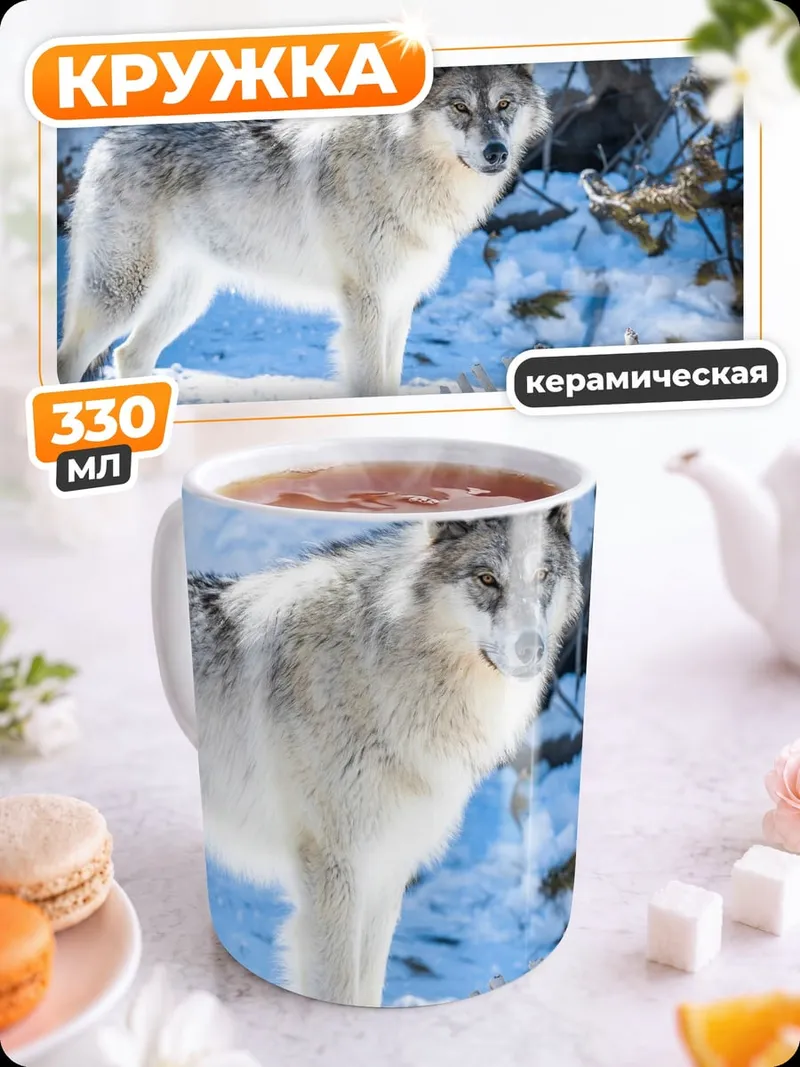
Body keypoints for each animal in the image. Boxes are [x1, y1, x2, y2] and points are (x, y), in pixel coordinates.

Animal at [57, 65, 551, 396]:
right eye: (460, 107)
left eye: (504, 104)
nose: (496, 152)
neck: (404, 171)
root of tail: (105, 141)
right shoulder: (366, 305)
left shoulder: (398, 304)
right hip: (123, 296)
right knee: (69, 361)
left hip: (185, 299)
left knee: (129, 356)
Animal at [187, 507, 583, 1006]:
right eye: (487, 579)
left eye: (543, 575)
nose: (531, 648)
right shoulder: (334, 874)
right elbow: (339, 990)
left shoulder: (385, 870)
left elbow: (368, 986)